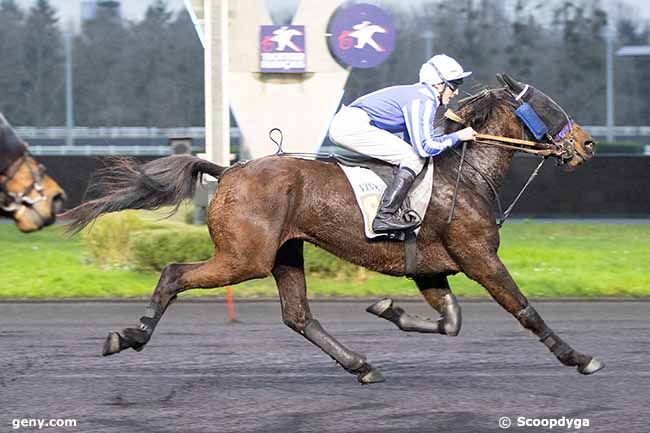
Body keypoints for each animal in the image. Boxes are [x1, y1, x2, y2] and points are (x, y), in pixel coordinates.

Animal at [63, 76, 600, 384]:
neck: (465, 173)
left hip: (284, 254)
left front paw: (387, 309)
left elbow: (451, 321)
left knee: (299, 317)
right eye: (549, 107)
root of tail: (229, 170)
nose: (588, 144)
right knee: (174, 272)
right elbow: (525, 311)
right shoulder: (479, 257)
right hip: (244, 258)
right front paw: (578, 357)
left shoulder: (430, 270)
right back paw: (129, 336)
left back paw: (361, 365)